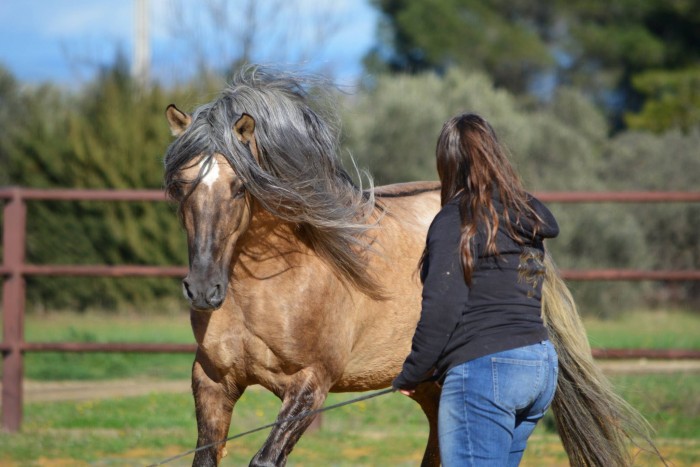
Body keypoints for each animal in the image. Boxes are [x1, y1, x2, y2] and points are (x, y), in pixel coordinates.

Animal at [164, 67, 656, 466]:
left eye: (239, 187)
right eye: (181, 184)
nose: (204, 290)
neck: (265, 288)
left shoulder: (309, 386)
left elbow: (265, 459)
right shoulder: (211, 382)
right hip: (431, 386)